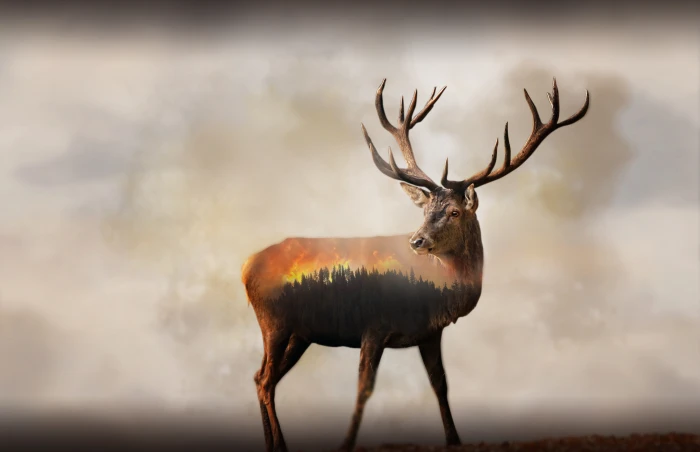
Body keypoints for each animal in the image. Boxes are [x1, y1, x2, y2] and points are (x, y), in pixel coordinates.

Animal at [241, 78, 589, 452]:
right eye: (424, 210)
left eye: (454, 212)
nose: (416, 240)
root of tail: (246, 265)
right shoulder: (373, 324)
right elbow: (364, 389)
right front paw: (346, 444)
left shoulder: (430, 332)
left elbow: (441, 383)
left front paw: (454, 439)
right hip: (274, 321)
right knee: (266, 379)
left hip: (300, 333)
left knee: (262, 378)